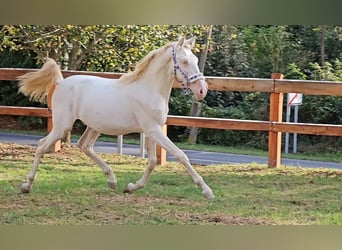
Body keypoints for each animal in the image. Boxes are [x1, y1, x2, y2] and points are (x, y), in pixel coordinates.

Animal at [18, 36, 214, 199]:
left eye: (196, 60)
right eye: (184, 61)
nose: (202, 90)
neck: (149, 89)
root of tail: (60, 83)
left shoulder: (151, 131)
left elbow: (152, 161)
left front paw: (131, 187)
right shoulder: (153, 130)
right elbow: (181, 155)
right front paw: (207, 191)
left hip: (94, 126)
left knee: (84, 145)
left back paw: (112, 180)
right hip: (62, 125)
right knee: (42, 145)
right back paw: (26, 185)